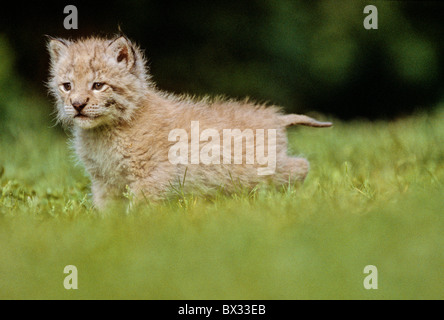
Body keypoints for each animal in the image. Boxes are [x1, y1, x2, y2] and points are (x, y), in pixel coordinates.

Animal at [48, 35, 332, 210]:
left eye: (98, 85)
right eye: (67, 86)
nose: (77, 104)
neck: (104, 131)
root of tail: (275, 117)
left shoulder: (152, 175)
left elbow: (139, 206)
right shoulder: (103, 181)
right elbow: (107, 209)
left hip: (261, 168)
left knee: (302, 166)